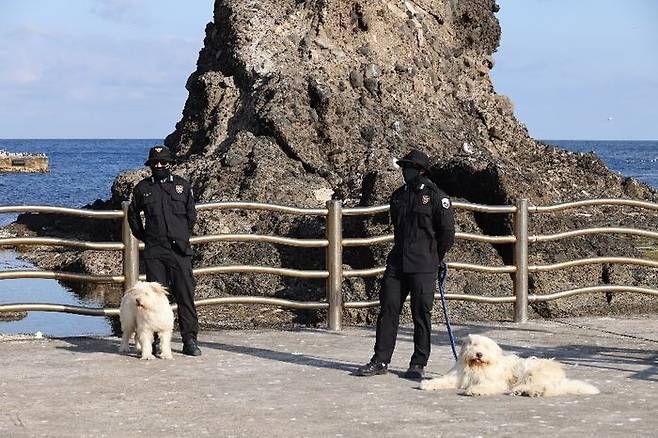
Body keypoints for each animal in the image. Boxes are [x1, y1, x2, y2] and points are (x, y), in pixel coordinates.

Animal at [418, 336, 596, 396]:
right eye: (474, 344)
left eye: (486, 347)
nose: (479, 354)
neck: (478, 367)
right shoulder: (458, 377)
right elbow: (444, 381)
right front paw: (427, 384)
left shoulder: (494, 381)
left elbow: (486, 385)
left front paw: (475, 391)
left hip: (532, 371)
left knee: (547, 388)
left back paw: (528, 391)